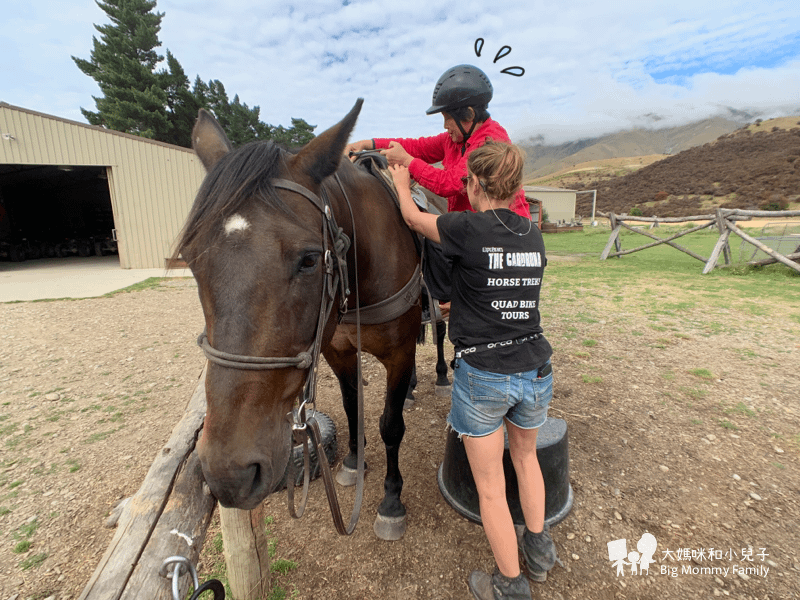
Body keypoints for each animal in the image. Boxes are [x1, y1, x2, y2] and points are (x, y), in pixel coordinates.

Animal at [178, 99, 422, 540]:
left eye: (309, 259)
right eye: (190, 259)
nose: (229, 473)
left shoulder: (399, 353)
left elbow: (390, 425)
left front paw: (392, 499)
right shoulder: (336, 351)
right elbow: (351, 407)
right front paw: (353, 462)